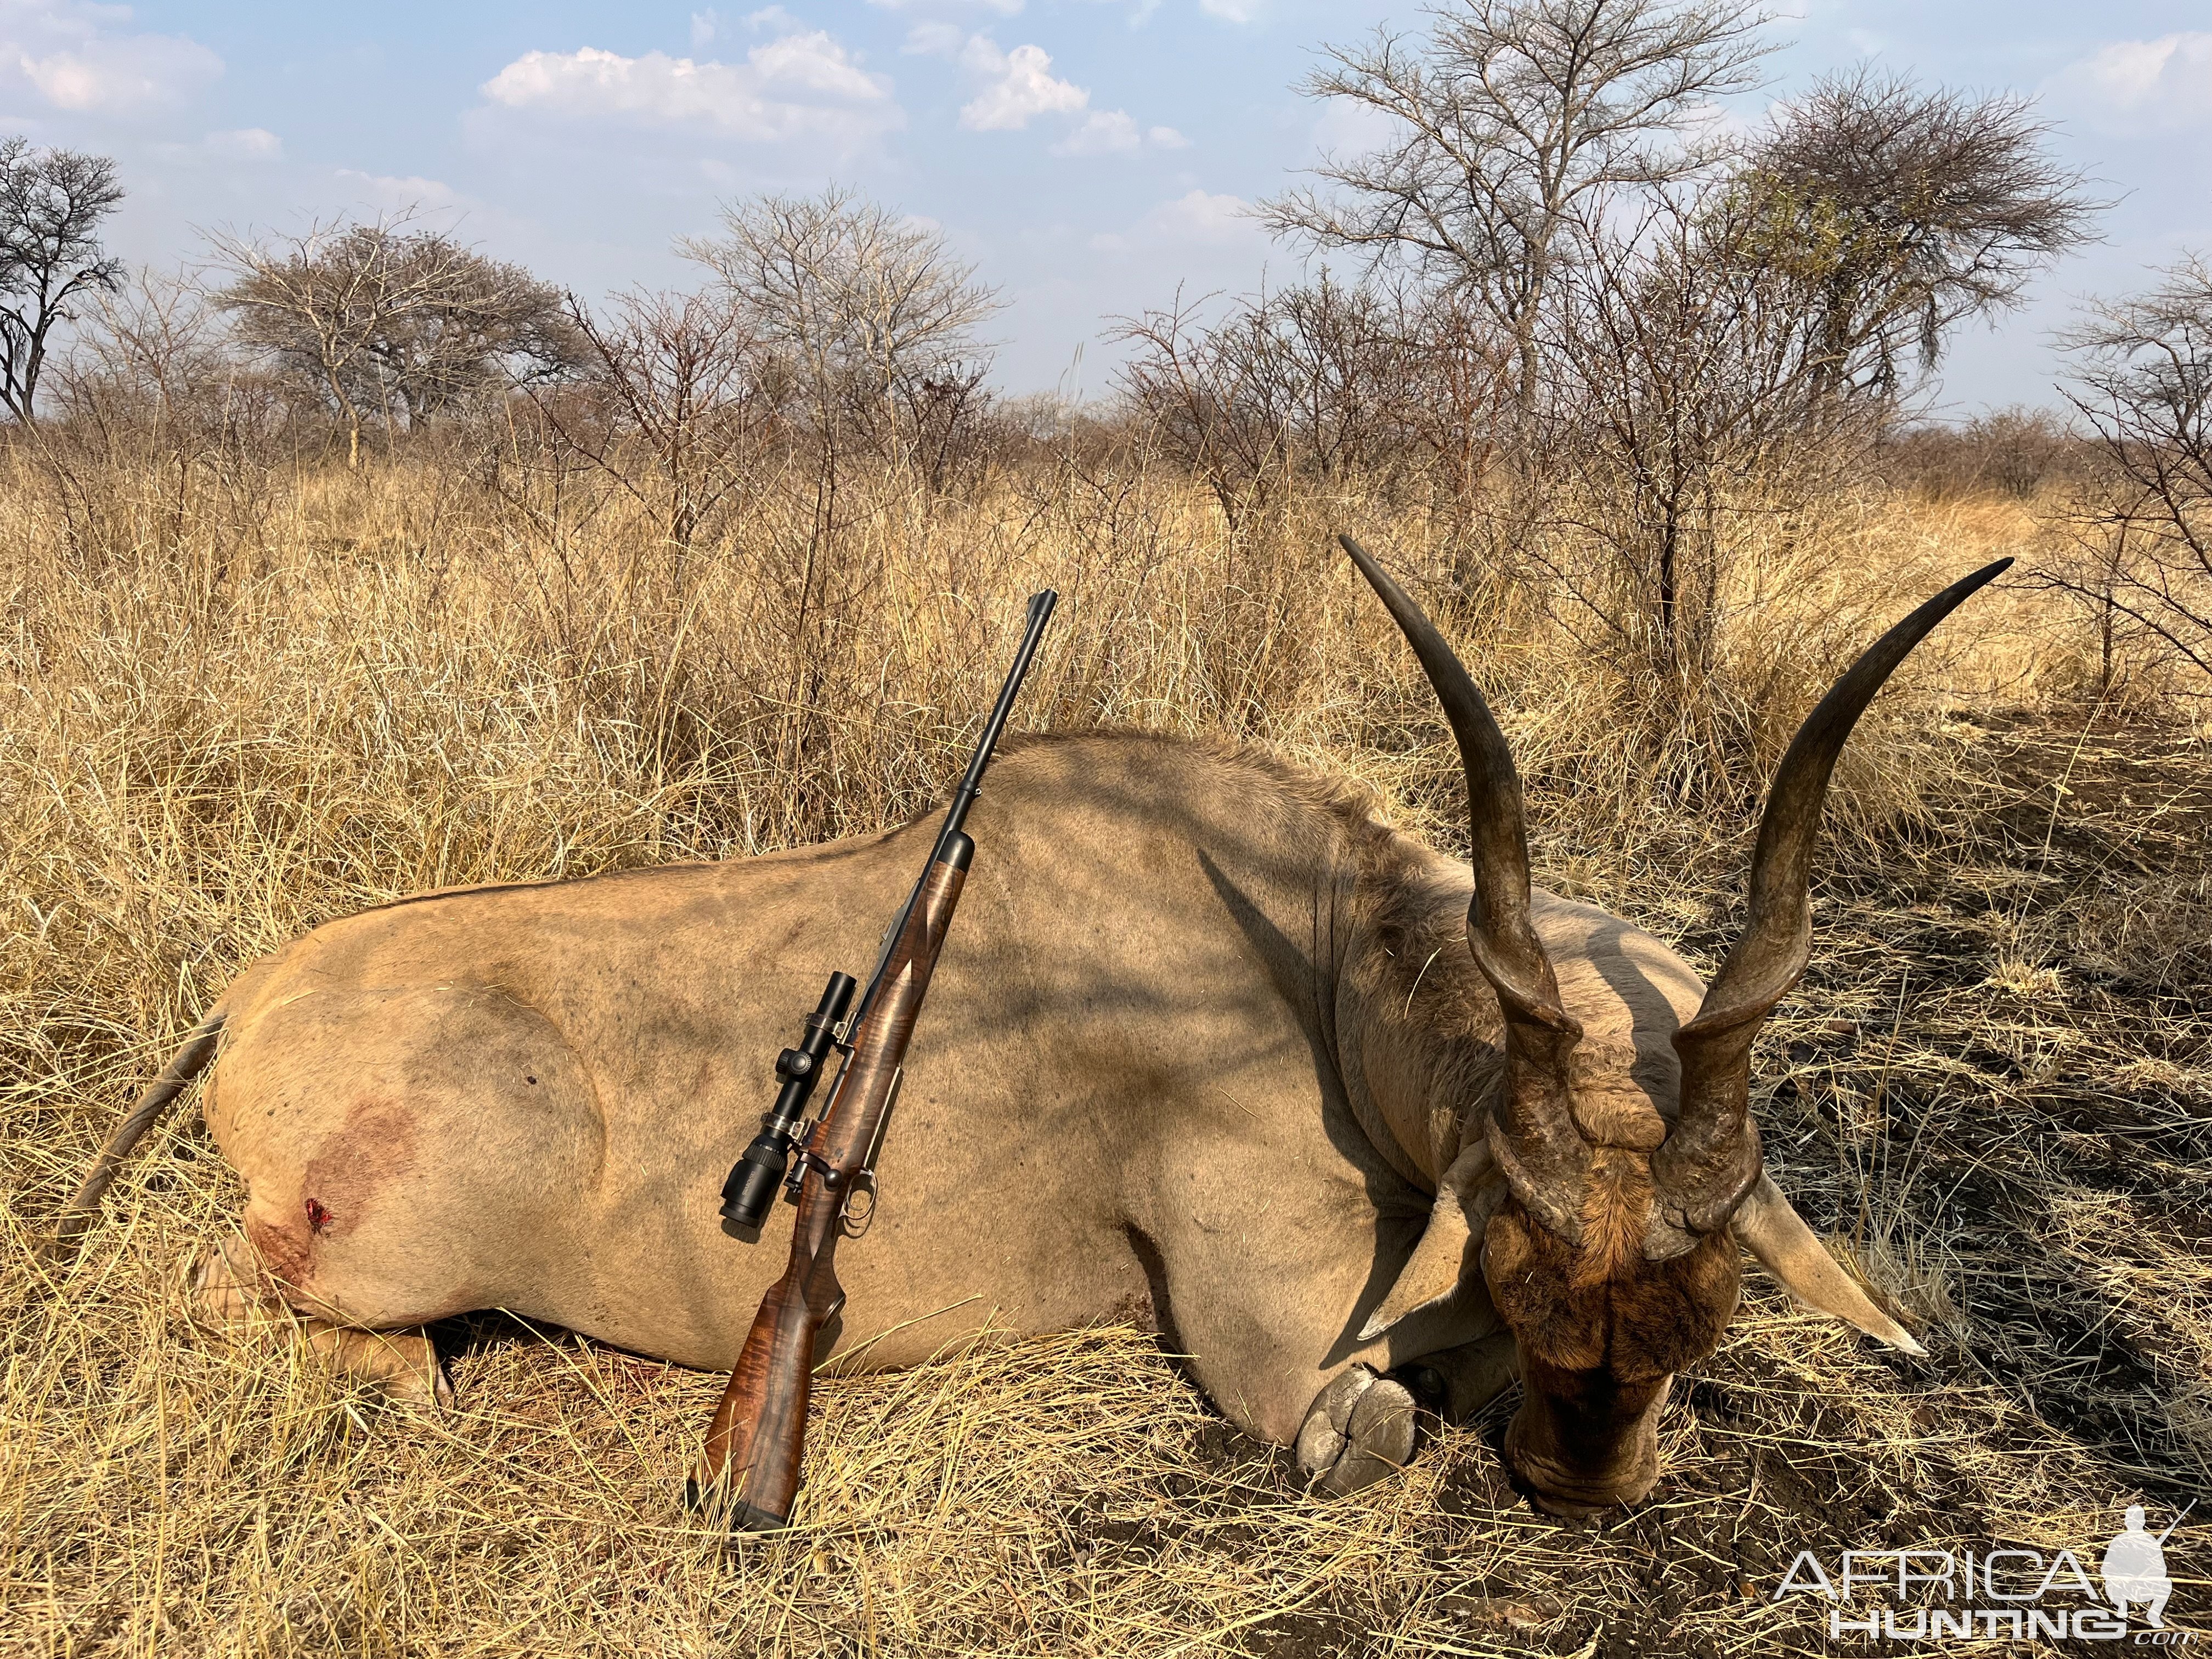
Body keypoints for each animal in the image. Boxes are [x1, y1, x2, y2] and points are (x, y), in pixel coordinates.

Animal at [60, 539, 1999, 1513]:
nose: (1581, 1485)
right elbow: (1361, 1428)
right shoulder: (1291, 1358)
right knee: (243, 1298)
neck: (1310, 953)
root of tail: (243, 998)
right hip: (394, 1226)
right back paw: (415, 1383)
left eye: (1704, 1315)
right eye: (1525, 1277)